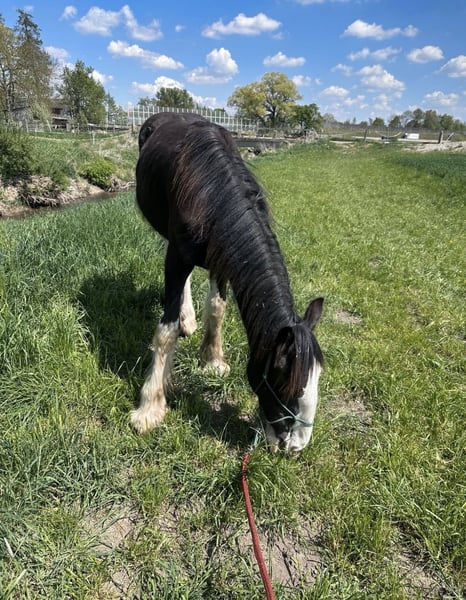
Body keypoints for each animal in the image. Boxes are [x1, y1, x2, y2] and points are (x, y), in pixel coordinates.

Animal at [132, 112, 323, 453]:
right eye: (285, 384)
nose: (294, 448)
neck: (212, 194)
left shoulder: (223, 258)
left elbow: (217, 309)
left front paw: (212, 360)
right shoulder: (177, 256)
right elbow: (165, 331)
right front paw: (150, 408)